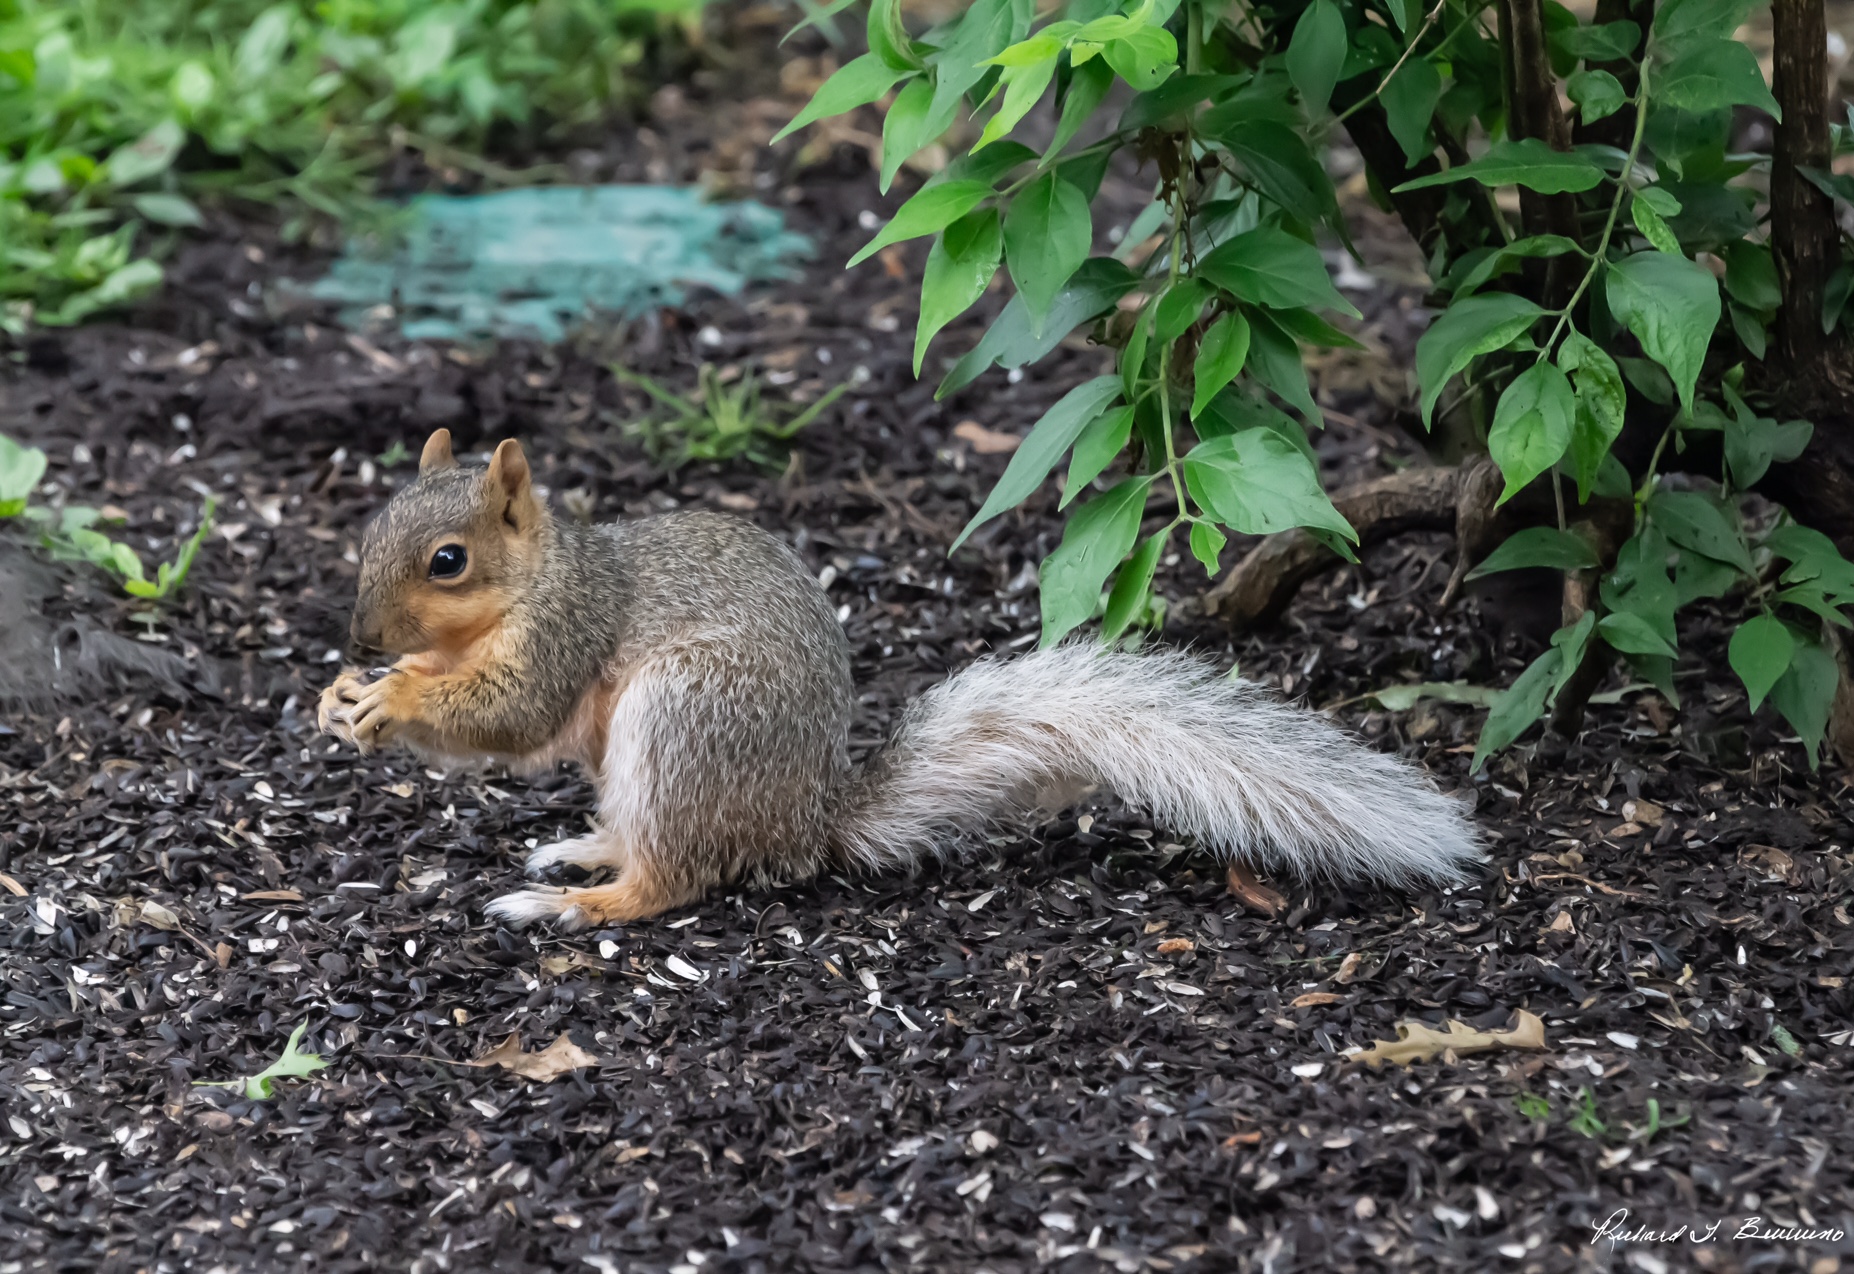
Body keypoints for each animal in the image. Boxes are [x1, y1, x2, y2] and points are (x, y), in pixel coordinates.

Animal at [318, 433, 1475, 930]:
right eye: (369, 529)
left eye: (449, 560)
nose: (359, 629)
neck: (545, 572)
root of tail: (803, 823)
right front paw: (349, 691)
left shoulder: (569, 630)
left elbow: (515, 714)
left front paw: (394, 697)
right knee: (647, 838)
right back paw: (584, 848)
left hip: (686, 716)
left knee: (675, 876)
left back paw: (577, 904)